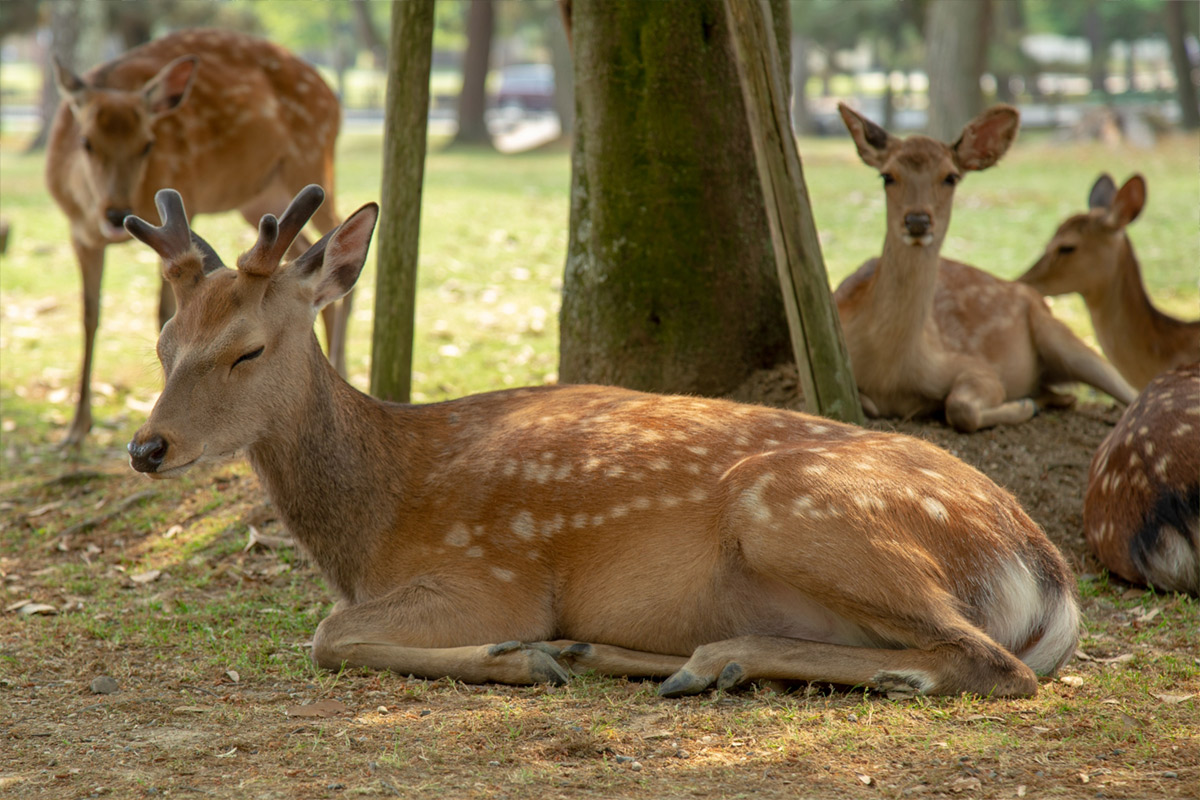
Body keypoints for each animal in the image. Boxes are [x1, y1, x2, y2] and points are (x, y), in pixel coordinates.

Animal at [45, 28, 348, 448]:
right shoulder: (79, 232)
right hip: (260, 199)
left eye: (148, 143)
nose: (117, 214)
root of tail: (331, 95)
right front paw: (75, 429)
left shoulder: (185, 198)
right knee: (305, 260)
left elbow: (162, 311)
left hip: (314, 162)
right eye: (86, 141)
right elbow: (89, 315)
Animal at [119, 184, 1080, 695]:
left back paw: (718, 661)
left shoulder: (491, 570)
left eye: (248, 349)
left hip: (793, 511)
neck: (371, 521)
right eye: (163, 342)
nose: (147, 447)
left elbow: (328, 635)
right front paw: (544, 655)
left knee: (991, 662)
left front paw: (515, 656)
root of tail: (1049, 574)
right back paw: (631, 656)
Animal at [835, 105, 1132, 434]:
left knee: (1129, 389)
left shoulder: (976, 367)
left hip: (1058, 333)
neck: (890, 370)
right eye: (887, 176)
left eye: (950, 177)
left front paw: (1022, 406)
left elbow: (960, 407)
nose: (917, 221)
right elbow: (869, 404)